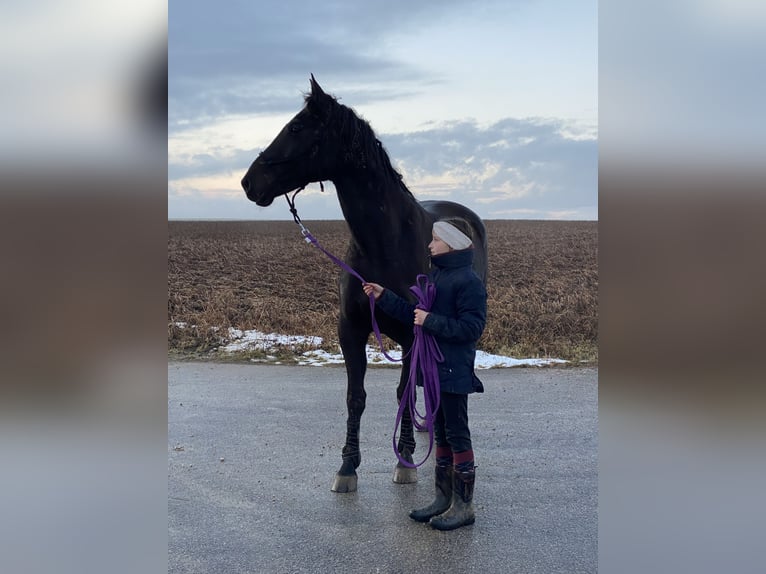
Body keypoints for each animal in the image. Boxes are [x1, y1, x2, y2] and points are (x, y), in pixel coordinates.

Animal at [241, 75, 488, 493]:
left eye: (296, 127)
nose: (249, 182)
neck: (384, 243)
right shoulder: (351, 330)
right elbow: (355, 397)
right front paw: (347, 467)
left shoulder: (411, 331)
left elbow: (403, 391)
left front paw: (405, 460)